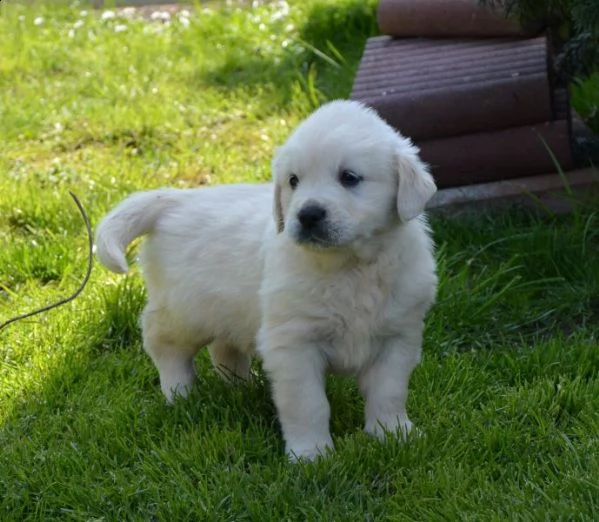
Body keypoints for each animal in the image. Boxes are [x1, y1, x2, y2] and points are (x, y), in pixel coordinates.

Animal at [96, 99, 438, 458]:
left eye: (349, 177)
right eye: (293, 181)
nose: (308, 215)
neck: (349, 265)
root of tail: (175, 200)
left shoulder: (398, 336)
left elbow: (389, 392)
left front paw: (393, 434)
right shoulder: (294, 343)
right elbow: (308, 404)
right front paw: (312, 455)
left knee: (224, 348)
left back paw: (239, 387)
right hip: (184, 311)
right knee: (162, 342)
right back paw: (180, 392)